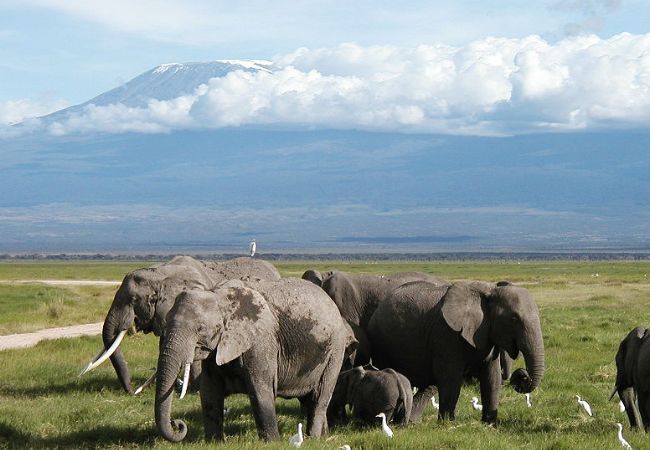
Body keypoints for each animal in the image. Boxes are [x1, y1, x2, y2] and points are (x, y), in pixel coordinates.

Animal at [153, 278, 354, 442]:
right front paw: (214, 443)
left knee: (320, 396)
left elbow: (260, 393)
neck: (220, 296)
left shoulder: (261, 343)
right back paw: (324, 436)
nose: (178, 424)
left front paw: (273, 443)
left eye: (200, 329)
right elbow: (210, 394)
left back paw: (312, 438)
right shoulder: (215, 351)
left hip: (335, 350)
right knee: (308, 399)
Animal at [364, 280, 540, 424]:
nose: (522, 375)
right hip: (381, 342)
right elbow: (451, 377)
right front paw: (447, 423)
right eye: (514, 318)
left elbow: (492, 376)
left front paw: (489, 423)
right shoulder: (446, 334)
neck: (489, 290)